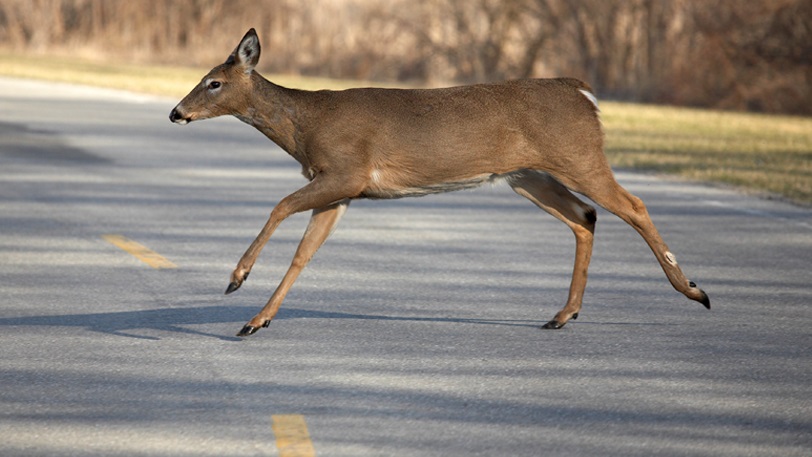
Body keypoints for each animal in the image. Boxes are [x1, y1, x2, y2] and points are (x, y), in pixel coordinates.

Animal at [169, 29, 710, 337]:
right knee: (585, 216)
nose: (176, 112)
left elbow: (279, 205)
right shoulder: (342, 191)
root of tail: (583, 93)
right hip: (527, 175)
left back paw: (693, 290)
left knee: (632, 204)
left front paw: (236, 279)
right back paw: (562, 315)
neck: (306, 127)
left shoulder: (346, 170)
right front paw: (256, 321)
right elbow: (305, 253)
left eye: (214, 82)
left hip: (578, 155)